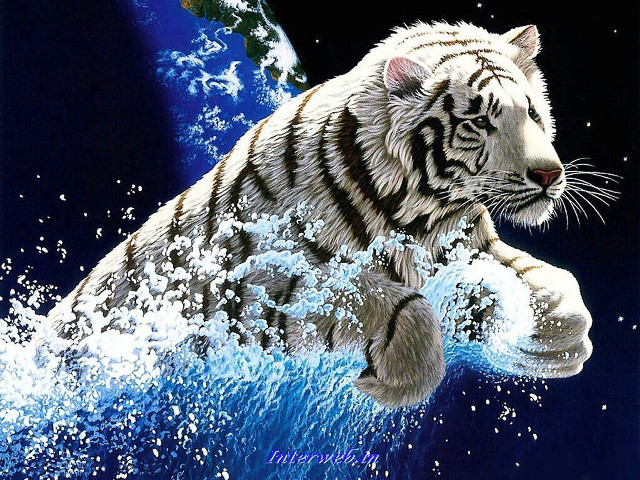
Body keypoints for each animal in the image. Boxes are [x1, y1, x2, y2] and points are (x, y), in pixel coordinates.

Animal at [48, 21, 593, 408]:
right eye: (479, 121)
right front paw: (390, 383)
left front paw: (559, 336)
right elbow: (394, 303)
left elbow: (550, 281)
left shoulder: (469, 246)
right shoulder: (260, 291)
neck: (425, 212)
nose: (549, 174)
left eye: (532, 112)